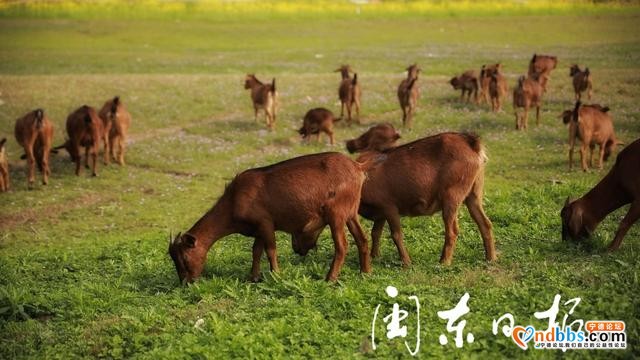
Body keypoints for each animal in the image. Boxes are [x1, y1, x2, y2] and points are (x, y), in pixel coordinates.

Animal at [168, 150, 372, 282]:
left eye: (184, 257)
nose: (186, 282)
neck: (234, 200)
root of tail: (358, 167)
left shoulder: (265, 223)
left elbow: (270, 250)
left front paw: (276, 275)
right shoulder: (258, 228)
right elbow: (256, 251)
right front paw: (254, 277)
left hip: (336, 214)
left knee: (342, 246)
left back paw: (330, 278)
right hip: (351, 213)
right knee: (362, 239)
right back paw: (365, 273)